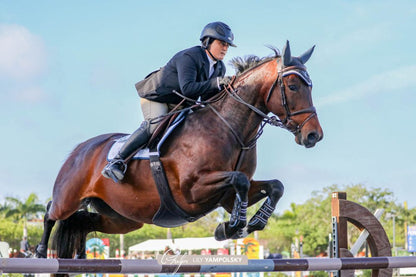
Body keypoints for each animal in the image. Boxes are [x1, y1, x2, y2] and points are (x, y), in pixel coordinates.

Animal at [35, 41, 322, 258]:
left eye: (311, 86)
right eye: (293, 86)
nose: (314, 135)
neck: (231, 129)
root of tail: (79, 150)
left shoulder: (227, 197)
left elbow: (275, 187)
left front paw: (247, 224)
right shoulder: (192, 191)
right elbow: (239, 179)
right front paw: (233, 227)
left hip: (123, 217)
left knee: (84, 222)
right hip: (69, 197)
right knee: (51, 211)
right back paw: (40, 252)